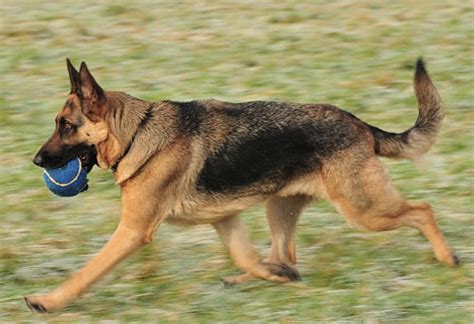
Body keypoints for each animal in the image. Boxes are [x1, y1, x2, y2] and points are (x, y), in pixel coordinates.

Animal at [27, 58, 458, 312]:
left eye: (65, 126)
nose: (35, 161)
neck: (136, 132)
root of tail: (361, 125)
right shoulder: (225, 219)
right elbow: (245, 256)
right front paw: (269, 275)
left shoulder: (133, 230)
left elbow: (87, 271)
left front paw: (48, 300)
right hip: (280, 208)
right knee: (285, 255)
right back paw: (268, 275)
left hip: (363, 209)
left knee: (422, 211)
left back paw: (448, 258)